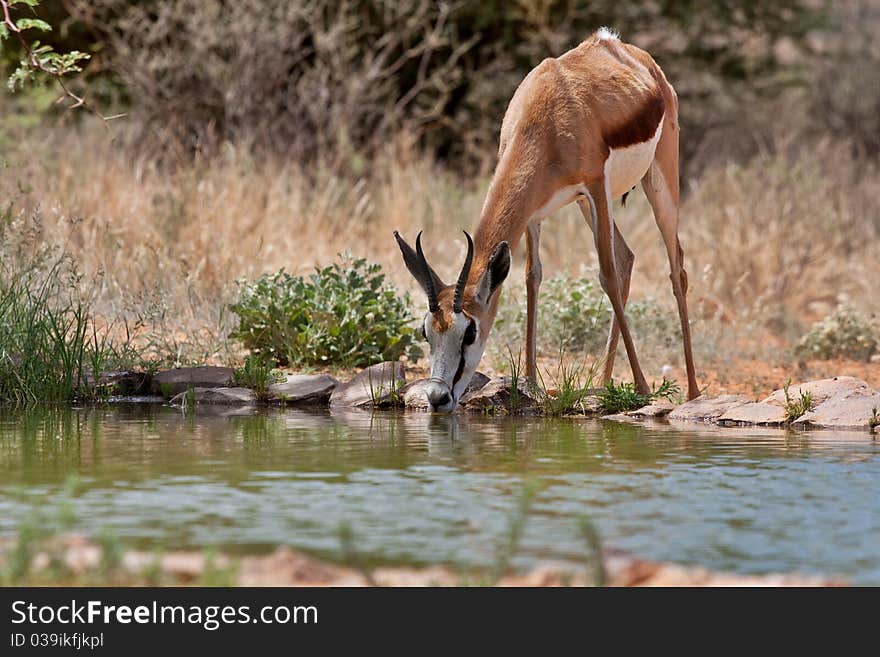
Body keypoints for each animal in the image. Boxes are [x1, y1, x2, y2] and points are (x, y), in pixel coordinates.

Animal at [396, 30, 696, 412]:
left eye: (470, 331)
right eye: (426, 331)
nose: (438, 397)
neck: (547, 116)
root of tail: (637, 57)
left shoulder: (595, 186)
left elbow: (607, 276)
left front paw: (643, 388)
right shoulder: (535, 212)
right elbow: (532, 276)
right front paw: (530, 383)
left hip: (658, 183)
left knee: (675, 268)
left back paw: (692, 393)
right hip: (585, 206)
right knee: (627, 257)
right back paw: (603, 384)